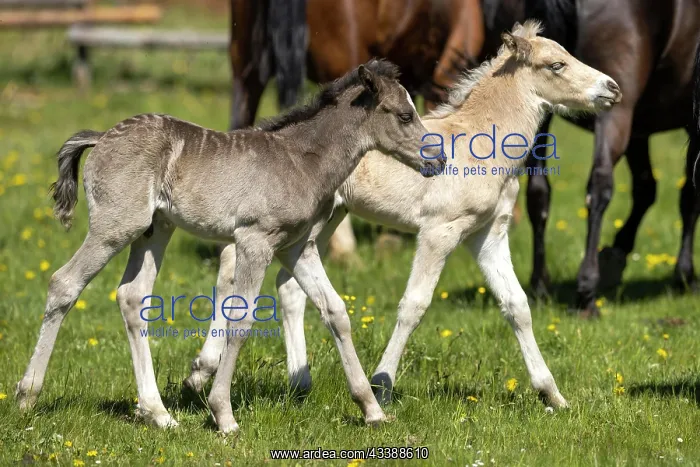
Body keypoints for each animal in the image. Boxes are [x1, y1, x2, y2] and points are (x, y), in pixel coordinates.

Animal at [15, 60, 443, 433]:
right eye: (405, 115)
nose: (437, 159)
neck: (301, 159)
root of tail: (101, 137)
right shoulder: (255, 241)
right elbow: (241, 319)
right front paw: (223, 414)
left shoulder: (297, 248)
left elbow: (335, 311)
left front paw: (371, 408)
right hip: (116, 226)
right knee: (64, 283)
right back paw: (26, 396)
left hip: (156, 230)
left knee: (132, 297)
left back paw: (159, 414)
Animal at [185, 21, 622, 408]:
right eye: (557, 65)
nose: (612, 88)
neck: (481, 143)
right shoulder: (440, 231)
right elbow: (414, 305)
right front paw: (381, 384)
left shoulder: (487, 235)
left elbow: (517, 305)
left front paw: (551, 394)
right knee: (230, 266)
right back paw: (202, 370)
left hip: (323, 220)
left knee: (288, 286)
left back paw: (299, 382)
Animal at [478, 0, 700, 315]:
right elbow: (688, 196)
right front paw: (684, 276)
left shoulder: (640, 129)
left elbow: (646, 188)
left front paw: (616, 255)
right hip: (614, 110)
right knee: (599, 186)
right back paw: (586, 290)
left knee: (538, 193)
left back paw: (540, 285)